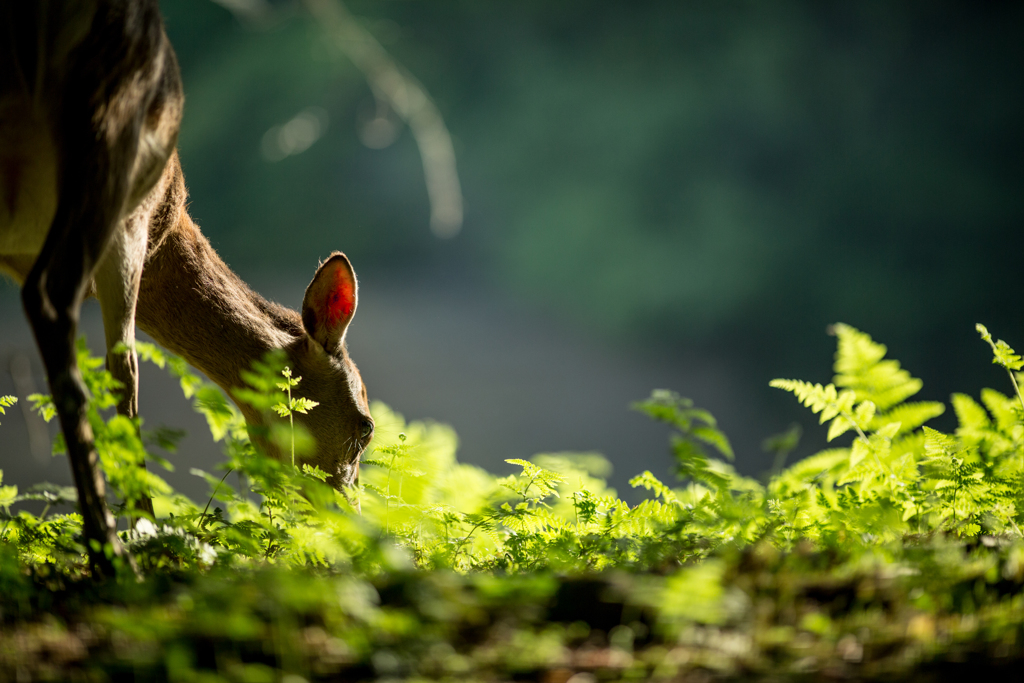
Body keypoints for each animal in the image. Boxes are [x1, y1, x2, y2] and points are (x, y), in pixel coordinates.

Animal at [0, 0, 376, 577]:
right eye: (365, 426)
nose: (353, 523)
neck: (169, 225)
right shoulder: (134, 221)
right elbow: (125, 373)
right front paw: (145, 530)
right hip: (109, 130)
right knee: (52, 302)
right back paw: (112, 554)